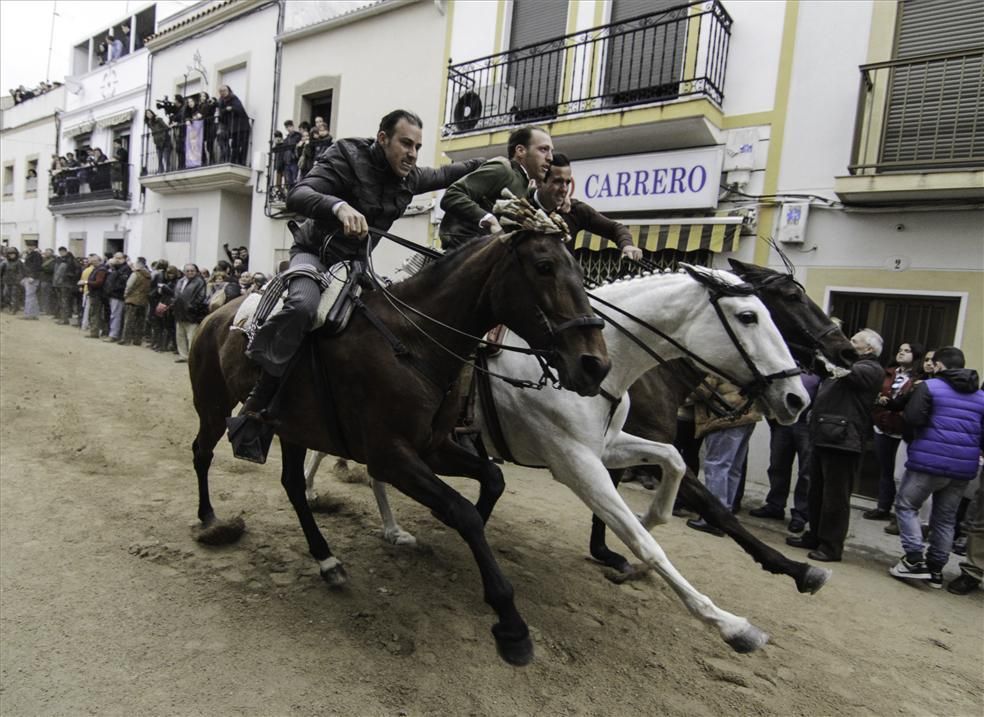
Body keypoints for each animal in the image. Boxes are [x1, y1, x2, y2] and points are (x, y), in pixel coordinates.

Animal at [186, 232, 608, 664]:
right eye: (544, 266)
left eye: (580, 270)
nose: (595, 365)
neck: (413, 341)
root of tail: (214, 314)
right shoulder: (390, 457)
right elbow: (463, 513)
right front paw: (511, 624)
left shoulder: (432, 447)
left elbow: (492, 478)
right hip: (213, 406)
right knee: (202, 453)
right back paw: (210, 518)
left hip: (293, 427)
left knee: (292, 485)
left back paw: (327, 560)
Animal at [308, 266, 808, 652]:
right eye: (748, 316)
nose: (797, 398)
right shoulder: (575, 462)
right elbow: (645, 541)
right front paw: (728, 623)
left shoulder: (607, 446)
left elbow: (674, 462)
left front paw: (651, 516)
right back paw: (319, 497)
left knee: (371, 470)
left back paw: (390, 529)